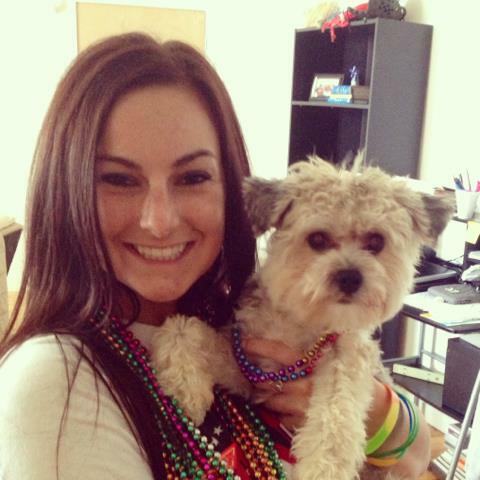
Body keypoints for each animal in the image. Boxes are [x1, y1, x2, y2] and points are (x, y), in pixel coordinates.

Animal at [151, 156, 453, 479]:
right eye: (317, 239)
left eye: (376, 241)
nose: (350, 277)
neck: (300, 322)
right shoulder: (248, 371)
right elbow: (185, 327)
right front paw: (185, 388)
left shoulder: (347, 358)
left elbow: (335, 416)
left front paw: (323, 468)